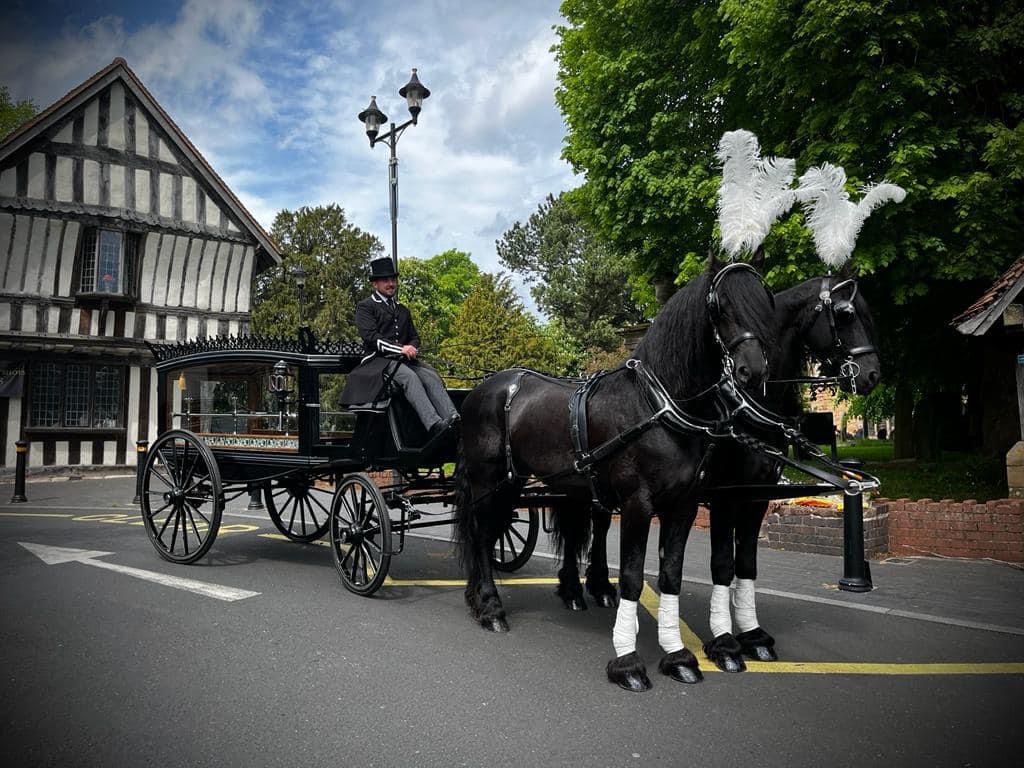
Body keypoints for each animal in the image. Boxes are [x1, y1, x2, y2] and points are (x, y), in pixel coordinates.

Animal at [454, 262, 774, 696]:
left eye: (763, 304)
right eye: (720, 307)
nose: (752, 372)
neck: (655, 405)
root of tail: (481, 389)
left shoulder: (684, 505)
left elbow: (670, 575)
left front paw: (678, 656)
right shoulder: (638, 504)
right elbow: (633, 578)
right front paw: (628, 662)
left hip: (511, 482)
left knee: (485, 537)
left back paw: (480, 599)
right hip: (488, 481)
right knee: (482, 533)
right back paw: (490, 607)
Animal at [700, 276, 884, 671]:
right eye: (845, 314)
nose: (872, 373)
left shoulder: (757, 495)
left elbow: (746, 562)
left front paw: (752, 635)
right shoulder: (725, 496)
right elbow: (722, 564)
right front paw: (723, 642)